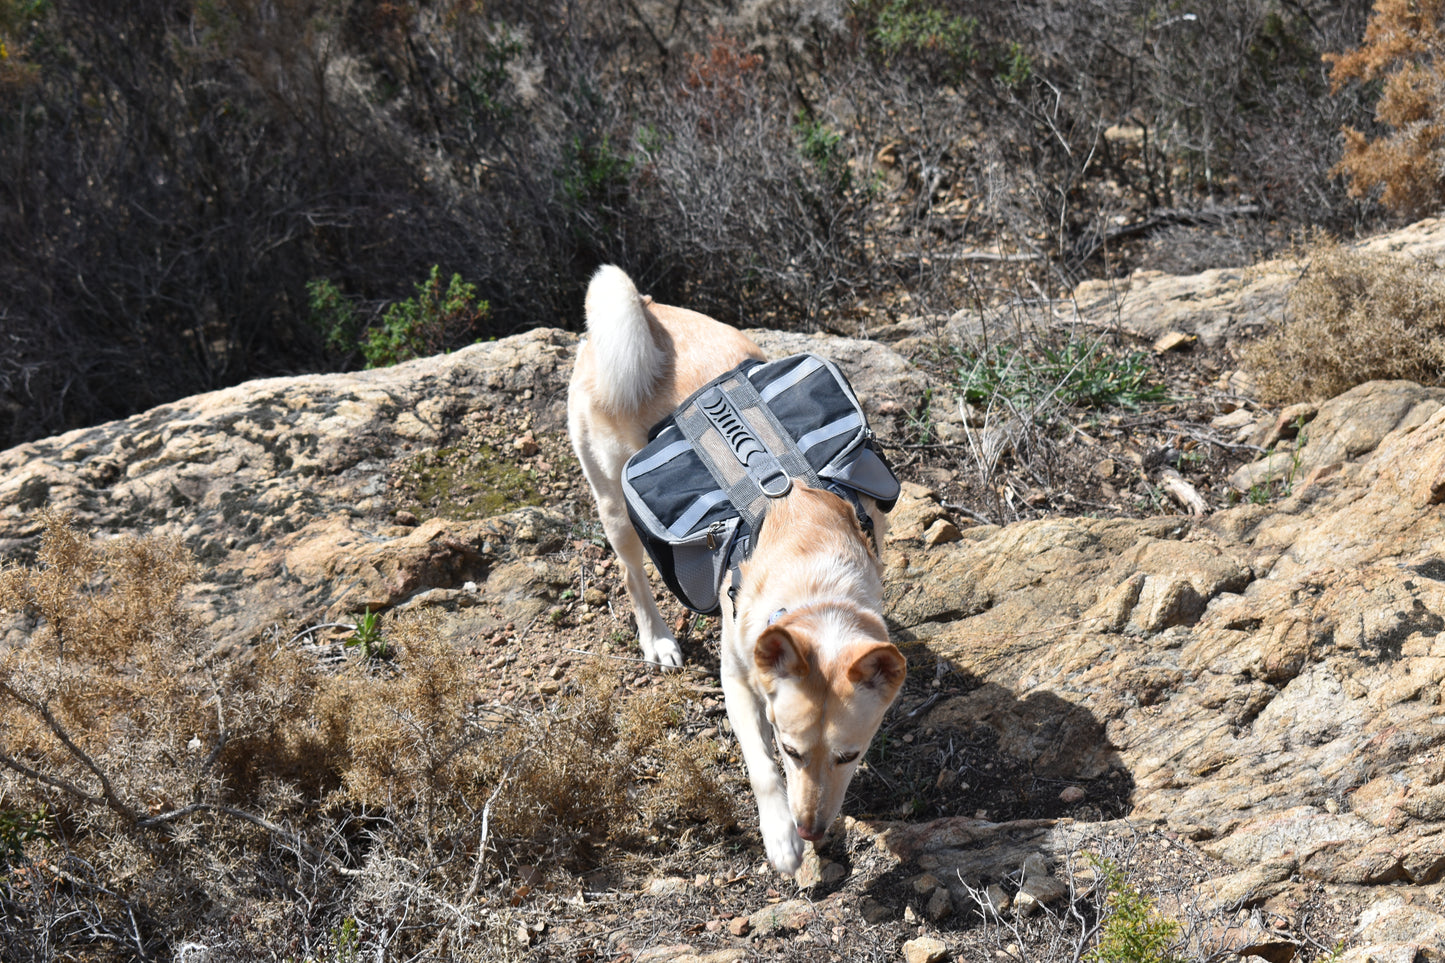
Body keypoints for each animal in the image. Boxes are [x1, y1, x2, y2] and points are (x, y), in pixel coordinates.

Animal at [569, 263, 907, 867]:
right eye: (789, 749)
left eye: (850, 756)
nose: (811, 830)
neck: (813, 575)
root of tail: (644, 308)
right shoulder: (737, 680)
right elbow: (758, 767)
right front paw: (778, 837)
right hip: (614, 506)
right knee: (632, 577)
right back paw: (658, 640)